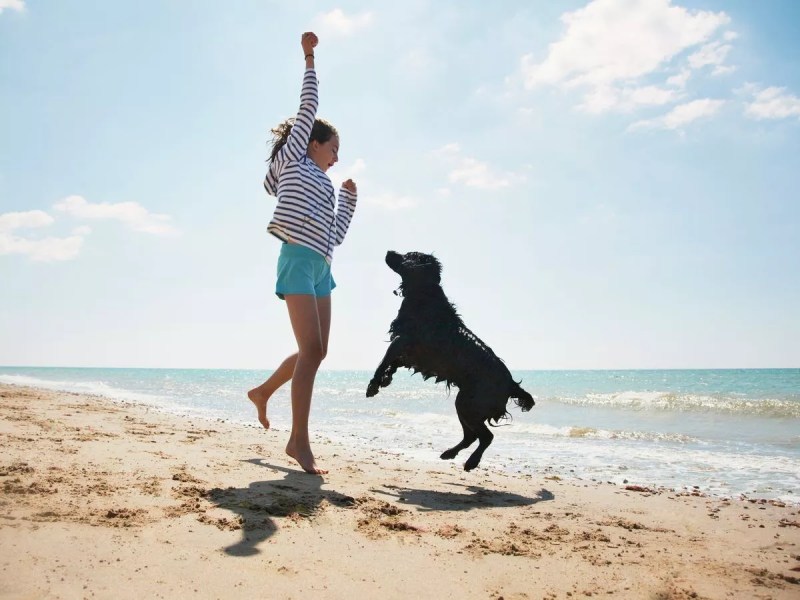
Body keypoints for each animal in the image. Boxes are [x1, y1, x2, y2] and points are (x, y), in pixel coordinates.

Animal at [368, 251, 536, 472]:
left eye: (408, 255)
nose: (389, 252)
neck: (424, 294)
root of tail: (510, 384)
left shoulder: (402, 340)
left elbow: (384, 359)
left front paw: (373, 384)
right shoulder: (409, 351)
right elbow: (393, 363)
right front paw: (386, 379)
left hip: (468, 404)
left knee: (486, 436)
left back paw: (471, 461)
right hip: (465, 404)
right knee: (471, 436)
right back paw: (450, 453)